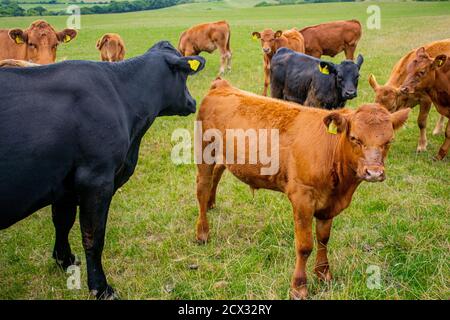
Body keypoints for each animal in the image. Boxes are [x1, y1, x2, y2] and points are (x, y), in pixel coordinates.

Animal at [0, 41, 206, 298]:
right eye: (184, 76)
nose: (193, 102)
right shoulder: (96, 180)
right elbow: (93, 236)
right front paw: (101, 287)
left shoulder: (65, 186)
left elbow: (63, 221)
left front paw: (65, 260)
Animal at [195, 77, 410, 300]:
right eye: (354, 138)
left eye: (389, 141)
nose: (374, 172)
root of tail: (222, 86)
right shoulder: (302, 198)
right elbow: (305, 246)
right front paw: (299, 287)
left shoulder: (328, 205)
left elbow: (323, 239)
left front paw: (324, 274)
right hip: (204, 150)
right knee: (202, 187)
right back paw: (202, 232)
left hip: (226, 155)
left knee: (217, 173)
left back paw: (211, 204)